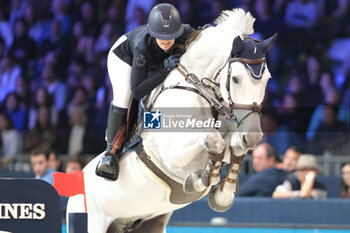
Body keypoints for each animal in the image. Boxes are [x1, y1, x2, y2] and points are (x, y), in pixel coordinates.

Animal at [65, 8, 274, 232]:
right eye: (235, 79)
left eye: (267, 79)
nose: (252, 137)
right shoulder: (172, 155)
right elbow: (213, 140)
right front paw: (198, 181)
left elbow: (233, 147)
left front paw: (222, 195)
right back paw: (107, 164)